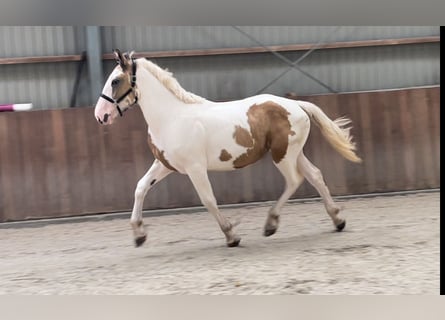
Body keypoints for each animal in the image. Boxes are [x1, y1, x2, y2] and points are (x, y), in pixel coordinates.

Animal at [93, 49, 360, 248]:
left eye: (115, 81)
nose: (100, 116)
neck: (172, 118)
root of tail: (296, 104)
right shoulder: (164, 165)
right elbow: (140, 188)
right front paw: (139, 235)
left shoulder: (195, 168)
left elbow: (208, 199)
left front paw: (232, 235)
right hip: (293, 153)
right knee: (315, 175)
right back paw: (338, 220)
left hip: (282, 155)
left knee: (295, 180)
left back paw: (271, 224)